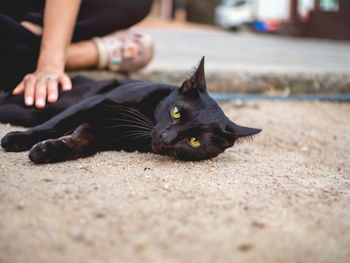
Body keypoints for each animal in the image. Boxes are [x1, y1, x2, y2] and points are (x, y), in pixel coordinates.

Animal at [0, 58, 260, 163]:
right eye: (176, 112)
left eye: (195, 141)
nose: (165, 138)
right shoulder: (93, 104)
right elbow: (55, 125)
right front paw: (19, 139)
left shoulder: (100, 129)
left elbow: (81, 143)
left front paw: (48, 151)